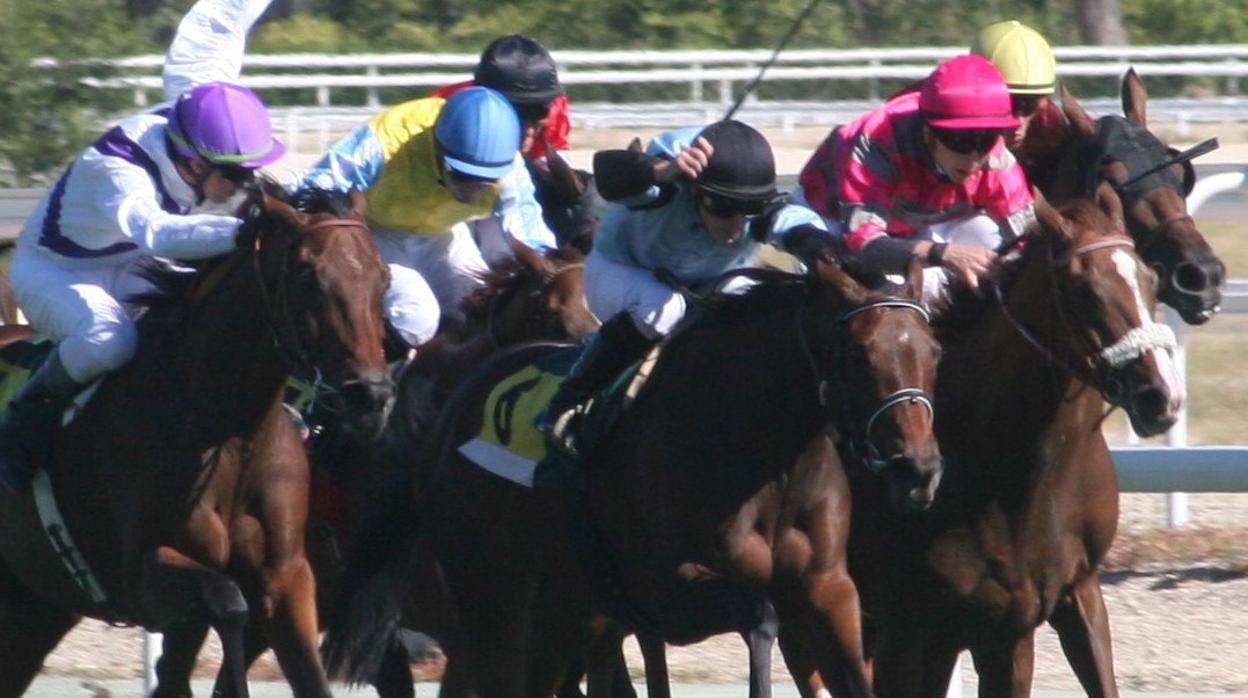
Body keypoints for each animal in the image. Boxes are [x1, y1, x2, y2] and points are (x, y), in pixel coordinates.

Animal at [0, 181, 391, 698]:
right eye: (308, 277)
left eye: (383, 278)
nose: (371, 396)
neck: (232, 432)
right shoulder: (145, 577)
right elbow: (227, 600)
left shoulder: (287, 574)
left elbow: (306, 672)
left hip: (36, 603)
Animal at [324, 257, 943, 698]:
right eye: (859, 353)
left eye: (934, 350)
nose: (918, 468)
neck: (765, 460)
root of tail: (447, 414)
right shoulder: (667, 593)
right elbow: (760, 617)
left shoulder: (828, 589)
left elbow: (851, 671)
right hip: (491, 599)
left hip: (559, 612)